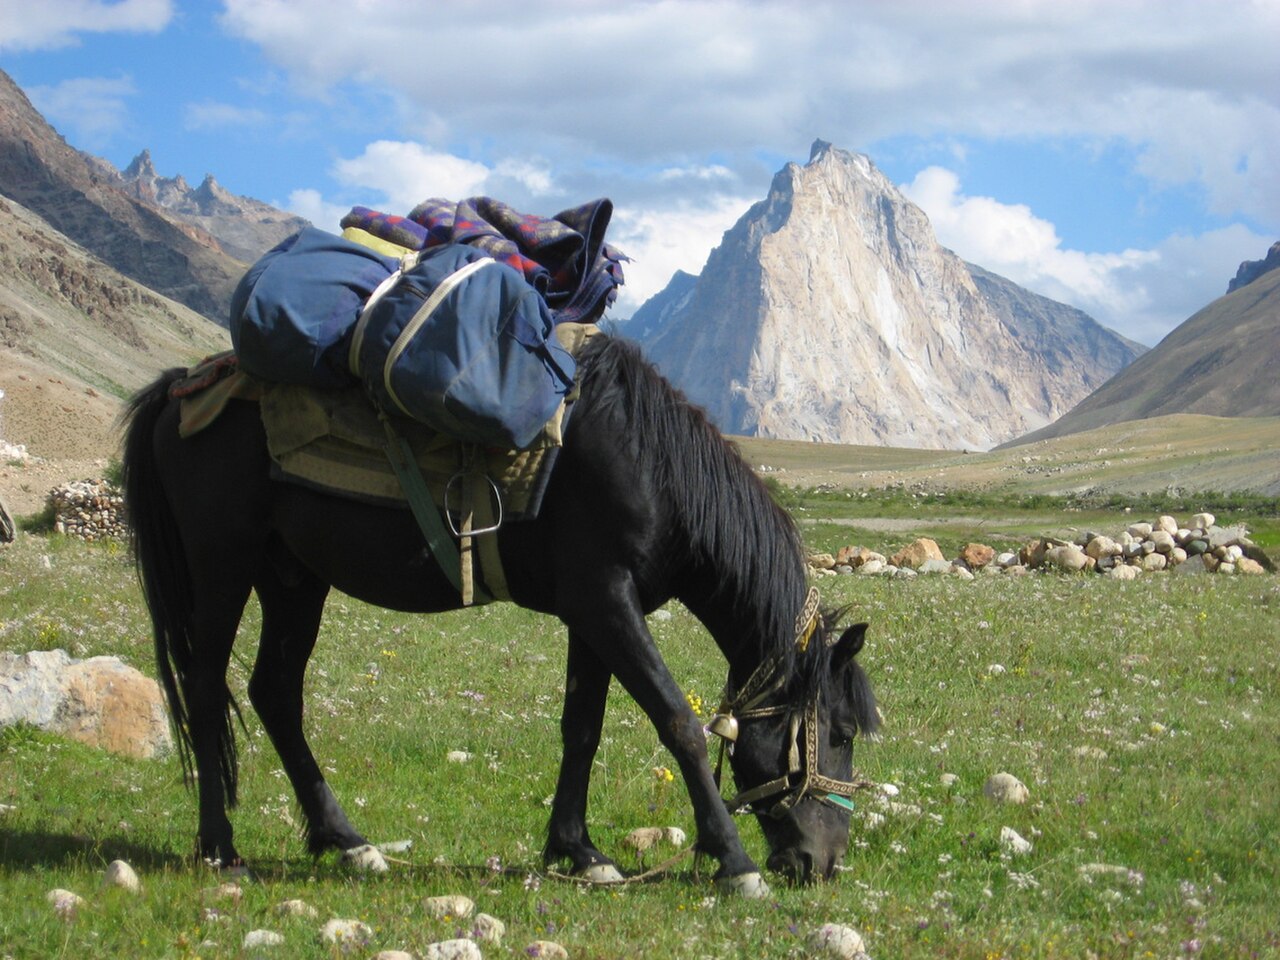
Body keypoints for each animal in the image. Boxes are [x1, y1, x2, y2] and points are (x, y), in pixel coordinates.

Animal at [120, 332, 878, 896]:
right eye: (839, 732)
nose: (823, 863)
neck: (649, 465)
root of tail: (185, 387)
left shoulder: (594, 611)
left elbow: (582, 729)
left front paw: (579, 852)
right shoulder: (604, 600)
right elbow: (678, 724)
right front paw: (734, 862)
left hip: (293, 579)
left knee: (274, 693)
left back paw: (348, 842)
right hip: (221, 565)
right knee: (205, 687)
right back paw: (221, 849)